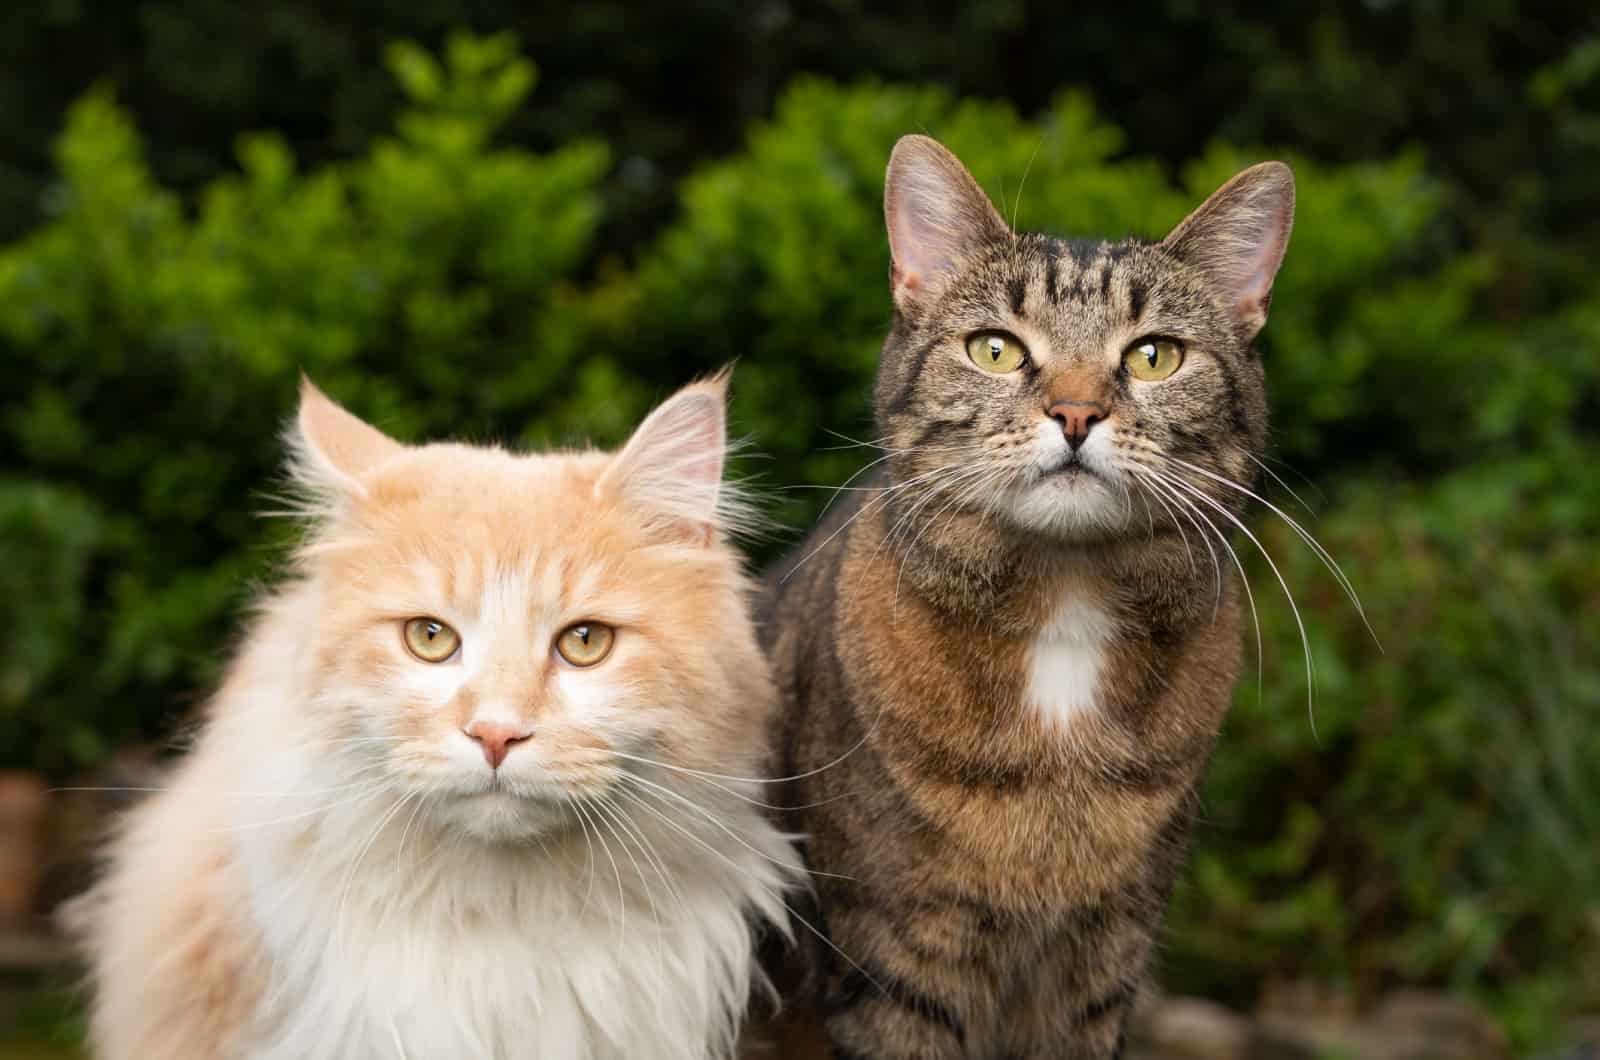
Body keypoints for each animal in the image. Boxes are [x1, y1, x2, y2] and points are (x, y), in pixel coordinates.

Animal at [755, 135, 1292, 1060]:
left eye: (1155, 355)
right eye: (996, 350)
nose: (1075, 413)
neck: (1063, 617)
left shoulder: (1102, 962)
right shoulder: (893, 959)